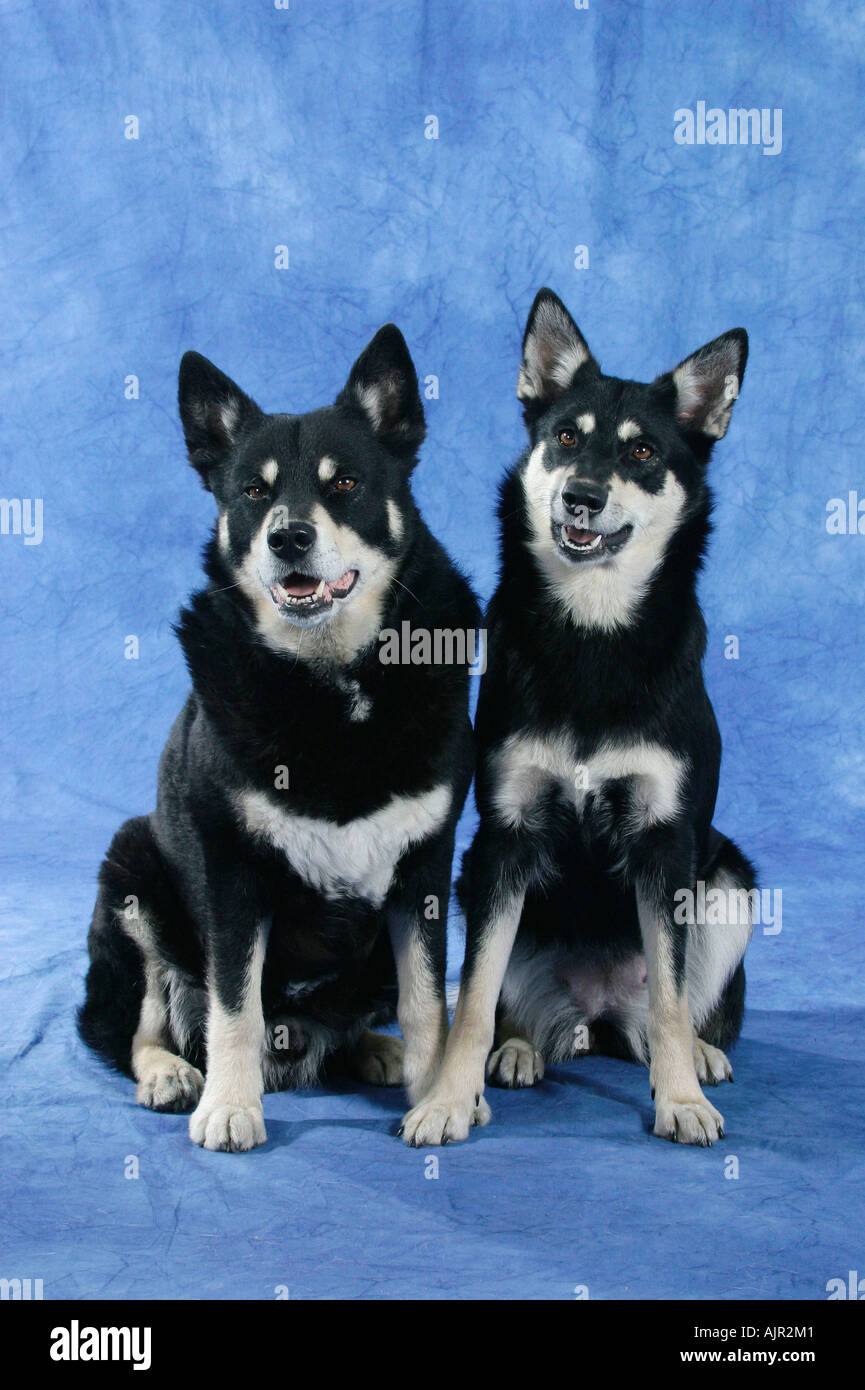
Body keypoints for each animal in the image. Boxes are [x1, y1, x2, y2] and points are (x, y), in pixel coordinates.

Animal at [80, 325, 481, 1150]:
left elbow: (429, 1000)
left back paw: (374, 1050)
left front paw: (436, 1095)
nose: (289, 536)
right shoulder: (235, 873)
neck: (332, 684)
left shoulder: (425, 868)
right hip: (134, 875)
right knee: (143, 1020)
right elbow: (234, 1005)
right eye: (253, 492)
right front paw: (231, 1106)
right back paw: (169, 1073)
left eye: (345, 484)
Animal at [400, 287, 756, 1145]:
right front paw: (448, 1098)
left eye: (642, 453)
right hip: (478, 878)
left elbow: (669, 1000)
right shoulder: (506, 836)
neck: (593, 633)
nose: (581, 497)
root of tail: (597, 1015)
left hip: (729, 881)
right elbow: (472, 998)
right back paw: (520, 1048)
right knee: (506, 1002)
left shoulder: (666, 843)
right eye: (565, 437)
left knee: (670, 1007)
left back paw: (699, 1058)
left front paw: (679, 1100)